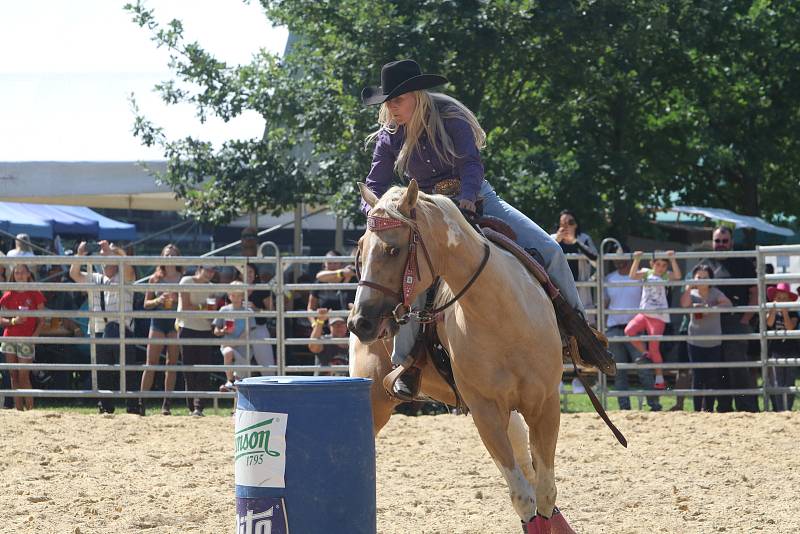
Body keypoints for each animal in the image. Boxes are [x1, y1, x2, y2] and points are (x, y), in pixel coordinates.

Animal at [350, 182, 576, 532]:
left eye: (393, 250)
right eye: (360, 249)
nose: (360, 322)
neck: (501, 315)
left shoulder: (545, 405)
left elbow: (545, 490)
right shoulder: (486, 412)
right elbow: (523, 497)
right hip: (374, 403)